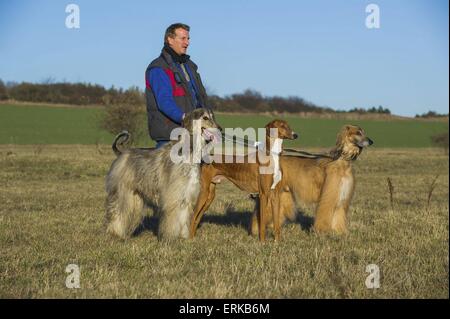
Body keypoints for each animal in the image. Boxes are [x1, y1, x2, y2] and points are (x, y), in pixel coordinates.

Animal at [104, 109, 220, 241]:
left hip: (135, 196)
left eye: (212, 117)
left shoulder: (186, 195)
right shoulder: (173, 197)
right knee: (117, 212)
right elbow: (173, 219)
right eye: (205, 118)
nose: (220, 129)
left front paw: (184, 237)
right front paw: (170, 239)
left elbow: (184, 217)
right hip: (122, 192)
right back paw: (115, 233)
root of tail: (121, 153)